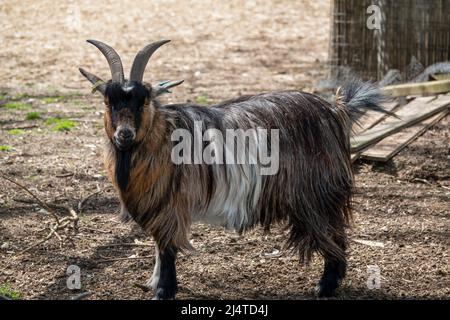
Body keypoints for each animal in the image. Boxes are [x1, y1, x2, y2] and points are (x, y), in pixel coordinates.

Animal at [78, 40, 386, 300]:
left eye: (143, 100)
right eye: (108, 101)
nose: (125, 134)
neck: (162, 136)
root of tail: (335, 111)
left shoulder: (170, 205)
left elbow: (166, 248)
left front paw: (164, 291)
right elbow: (157, 246)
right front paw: (154, 283)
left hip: (317, 194)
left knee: (333, 233)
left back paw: (324, 286)